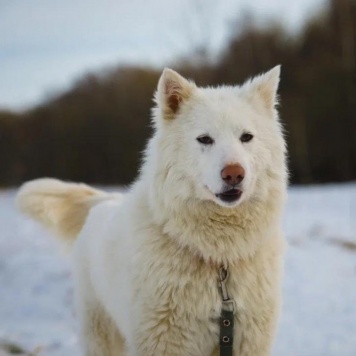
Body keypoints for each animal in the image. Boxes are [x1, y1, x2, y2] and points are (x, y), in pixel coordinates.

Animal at [17, 67, 290, 356]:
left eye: (246, 137)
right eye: (205, 139)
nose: (234, 174)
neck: (218, 259)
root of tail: (106, 199)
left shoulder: (247, 340)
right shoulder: (165, 341)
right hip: (102, 334)